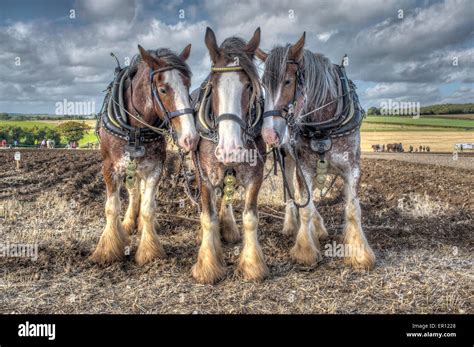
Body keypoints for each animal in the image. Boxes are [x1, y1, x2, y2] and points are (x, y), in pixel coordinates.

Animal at [92, 44, 198, 266]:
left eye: (188, 85)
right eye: (163, 89)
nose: (190, 138)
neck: (136, 129)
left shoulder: (155, 168)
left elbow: (149, 207)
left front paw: (149, 250)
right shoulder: (110, 168)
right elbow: (111, 207)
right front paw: (108, 249)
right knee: (132, 193)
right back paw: (128, 222)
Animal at [192, 25, 266, 284]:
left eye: (249, 86)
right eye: (213, 87)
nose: (230, 149)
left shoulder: (256, 176)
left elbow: (251, 217)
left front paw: (252, 265)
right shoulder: (205, 176)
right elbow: (208, 217)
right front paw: (207, 265)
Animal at [258, 32, 376, 270]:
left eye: (288, 81)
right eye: (264, 84)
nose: (269, 134)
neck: (324, 125)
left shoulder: (352, 168)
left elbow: (353, 209)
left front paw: (359, 252)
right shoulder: (304, 166)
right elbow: (306, 208)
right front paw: (305, 250)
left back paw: (319, 228)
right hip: (288, 159)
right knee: (293, 193)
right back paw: (291, 225)